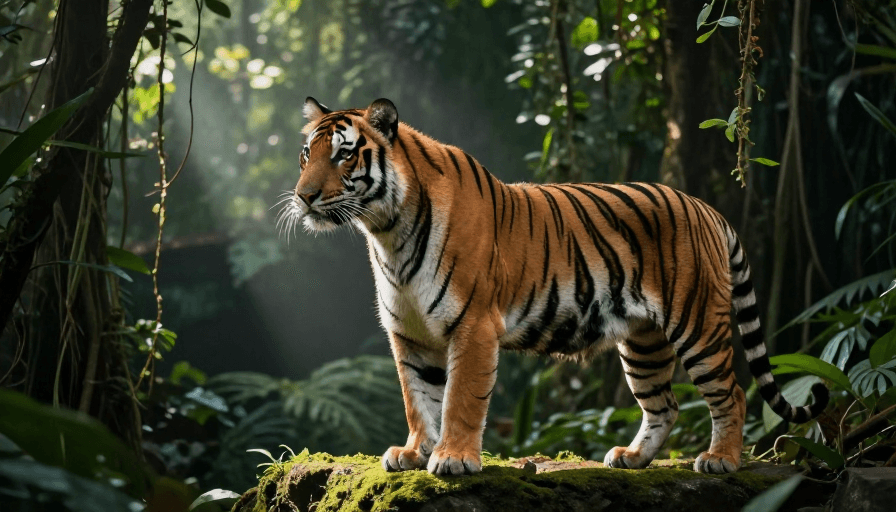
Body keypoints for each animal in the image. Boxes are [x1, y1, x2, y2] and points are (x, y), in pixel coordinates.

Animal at [282, 96, 829, 476]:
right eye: (307, 154)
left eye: (344, 157)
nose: (303, 197)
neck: (386, 231)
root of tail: (708, 209)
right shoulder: (410, 334)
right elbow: (418, 399)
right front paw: (415, 452)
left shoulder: (473, 326)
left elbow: (459, 399)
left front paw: (453, 457)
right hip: (643, 343)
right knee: (664, 405)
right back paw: (632, 457)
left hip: (698, 326)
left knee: (731, 393)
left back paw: (721, 460)